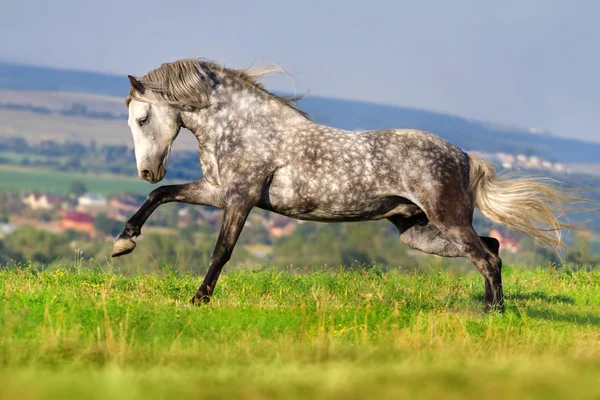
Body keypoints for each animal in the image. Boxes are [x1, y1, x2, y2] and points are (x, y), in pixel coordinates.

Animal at [112, 57, 584, 312]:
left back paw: (493, 316)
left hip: (447, 221)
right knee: (492, 248)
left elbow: (221, 251)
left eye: (142, 118)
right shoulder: (217, 192)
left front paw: (199, 300)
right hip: (419, 232)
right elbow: (161, 197)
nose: (147, 170)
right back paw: (491, 308)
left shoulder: (240, 198)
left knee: (486, 258)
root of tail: (466, 158)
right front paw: (124, 242)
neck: (246, 128)